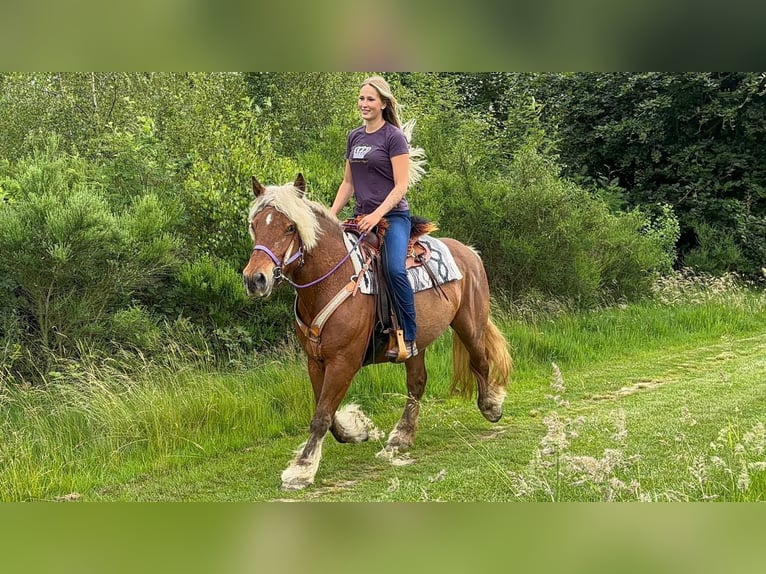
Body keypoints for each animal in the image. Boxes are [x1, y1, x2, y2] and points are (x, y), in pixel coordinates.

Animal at [242, 174, 512, 491]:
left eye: (289, 227)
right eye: (255, 225)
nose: (255, 279)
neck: (330, 280)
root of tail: (470, 252)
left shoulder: (344, 361)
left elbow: (322, 415)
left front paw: (302, 469)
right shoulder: (315, 360)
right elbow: (327, 412)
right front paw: (358, 430)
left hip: (470, 324)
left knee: (479, 360)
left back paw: (491, 406)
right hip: (415, 342)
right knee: (417, 382)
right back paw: (401, 436)